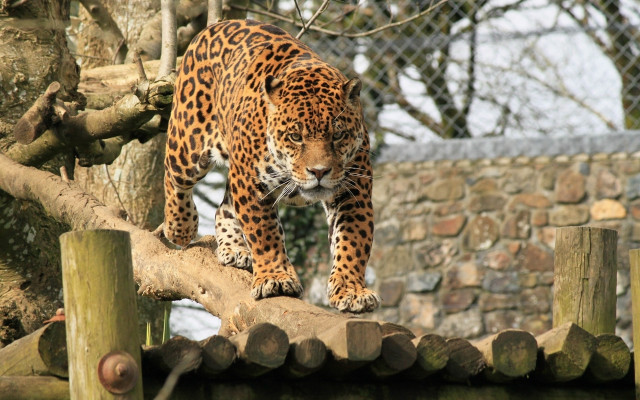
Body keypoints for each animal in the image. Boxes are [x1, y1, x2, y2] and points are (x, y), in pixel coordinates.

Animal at [162, 19, 380, 313]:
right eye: (295, 136)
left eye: (338, 135)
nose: (319, 172)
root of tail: (215, 26)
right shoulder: (251, 184)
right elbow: (264, 232)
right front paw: (275, 278)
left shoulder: (353, 192)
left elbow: (353, 242)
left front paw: (351, 290)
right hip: (187, 143)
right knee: (173, 177)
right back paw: (180, 227)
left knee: (223, 208)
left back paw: (235, 249)